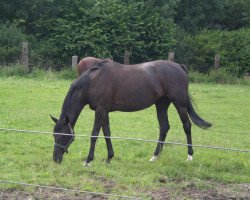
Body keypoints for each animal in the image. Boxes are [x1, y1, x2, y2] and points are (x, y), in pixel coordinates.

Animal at [50, 59, 211, 166]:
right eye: (54, 135)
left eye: (63, 136)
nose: (56, 159)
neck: (93, 82)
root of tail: (179, 66)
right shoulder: (104, 111)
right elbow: (107, 133)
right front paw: (109, 158)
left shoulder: (100, 110)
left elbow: (94, 134)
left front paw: (88, 160)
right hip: (161, 104)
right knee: (164, 127)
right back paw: (155, 156)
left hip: (180, 103)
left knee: (187, 126)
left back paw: (189, 156)